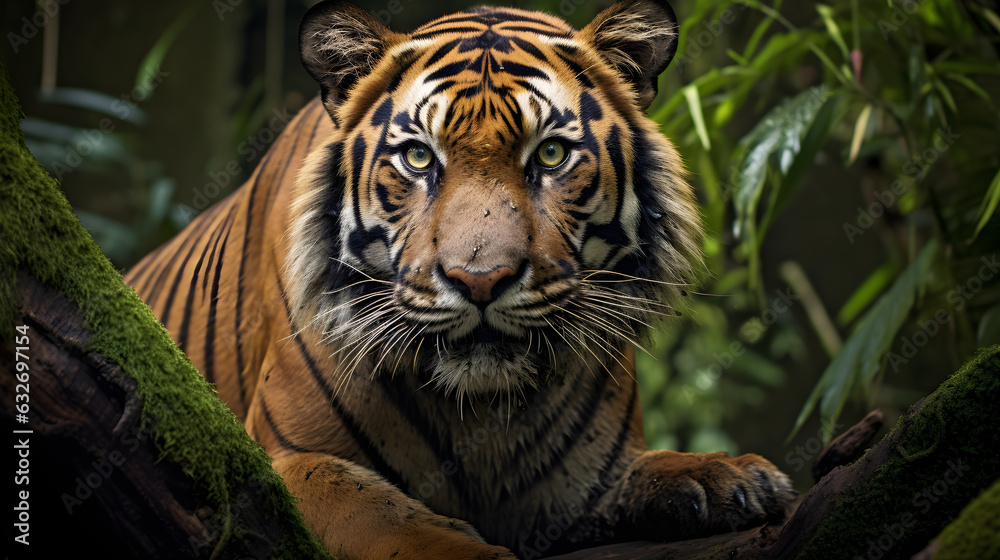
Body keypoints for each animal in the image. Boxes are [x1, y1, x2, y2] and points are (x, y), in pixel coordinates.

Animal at [127, 2, 796, 556]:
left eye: (551, 154)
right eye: (419, 157)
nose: (480, 280)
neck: (484, 412)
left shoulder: (583, 483)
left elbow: (647, 468)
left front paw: (730, 477)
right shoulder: (283, 460)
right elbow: (389, 519)